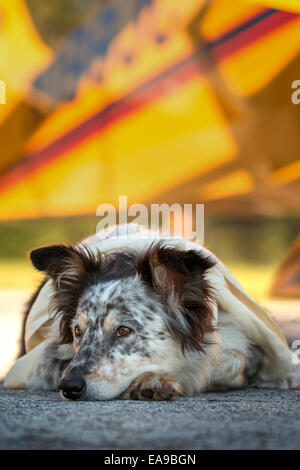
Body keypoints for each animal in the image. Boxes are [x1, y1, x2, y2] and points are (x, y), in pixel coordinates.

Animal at [19, 229, 300, 400]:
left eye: (124, 330)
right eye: (77, 331)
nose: (69, 387)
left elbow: (232, 360)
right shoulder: (44, 362)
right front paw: (152, 381)